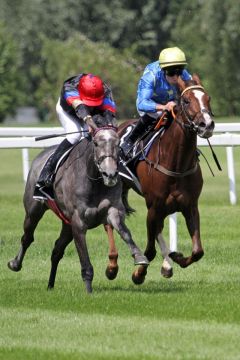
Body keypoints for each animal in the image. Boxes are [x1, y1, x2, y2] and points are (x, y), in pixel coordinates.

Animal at [7, 118, 148, 292]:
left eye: (117, 143)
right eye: (96, 143)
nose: (110, 174)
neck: (94, 180)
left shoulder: (112, 211)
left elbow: (125, 232)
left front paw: (139, 256)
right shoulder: (78, 222)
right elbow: (84, 259)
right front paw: (88, 291)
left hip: (66, 224)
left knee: (57, 250)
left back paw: (50, 284)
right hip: (33, 211)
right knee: (27, 237)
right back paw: (15, 264)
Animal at [106, 74, 215, 284]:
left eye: (208, 98)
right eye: (186, 100)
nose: (206, 124)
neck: (176, 162)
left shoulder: (189, 205)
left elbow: (198, 251)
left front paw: (176, 257)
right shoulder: (153, 205)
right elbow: (149, 251)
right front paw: (138, 274)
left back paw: (167, 264)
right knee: (110, 222)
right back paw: (112, 267)